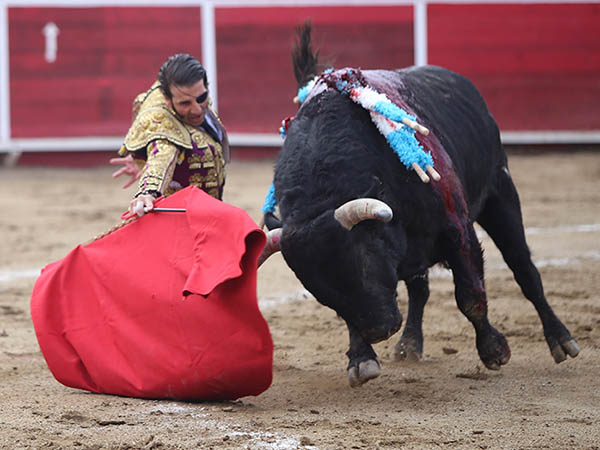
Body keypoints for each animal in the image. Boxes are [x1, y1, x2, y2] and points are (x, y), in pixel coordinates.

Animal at [260, 42, 580, 388]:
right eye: (318, 290)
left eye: (362, 263)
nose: (379, 330)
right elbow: (353, 316)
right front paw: (361, 359)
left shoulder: (457, 229)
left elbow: (470, 295)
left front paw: (493, 350)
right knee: (420, 289)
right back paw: (410, 343)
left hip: (501, 192)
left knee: (525, 270)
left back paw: (561, 339)